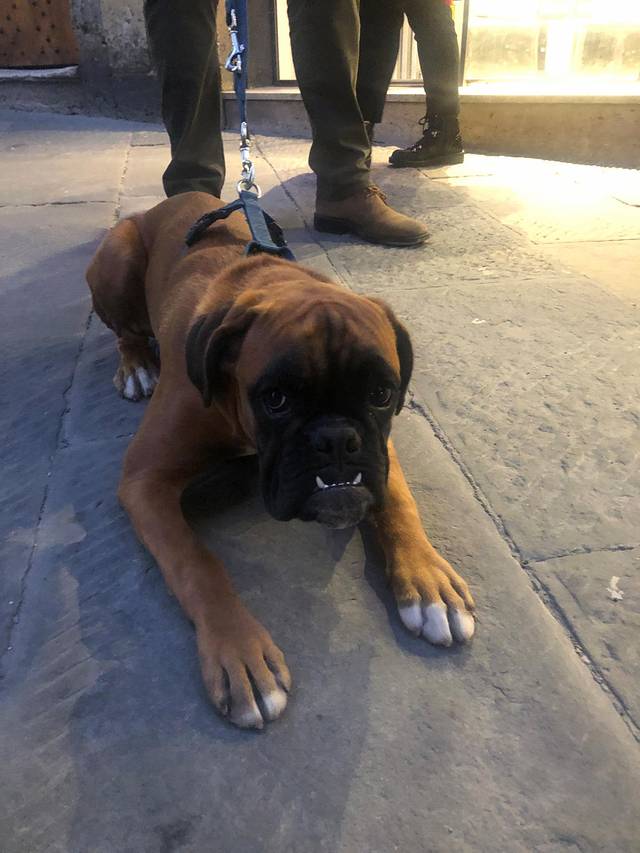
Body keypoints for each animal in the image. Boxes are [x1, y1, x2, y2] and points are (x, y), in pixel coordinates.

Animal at [86, 192, 475, 729]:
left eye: (381, 393)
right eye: (276, 399)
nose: (336, 439)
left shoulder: (382, 450)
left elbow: (399, 504)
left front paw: (428, 580)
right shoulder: (145, 480)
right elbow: (197, 564)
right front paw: (240, 653)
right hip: (118, 256)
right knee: (126, 331)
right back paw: (137, 365)